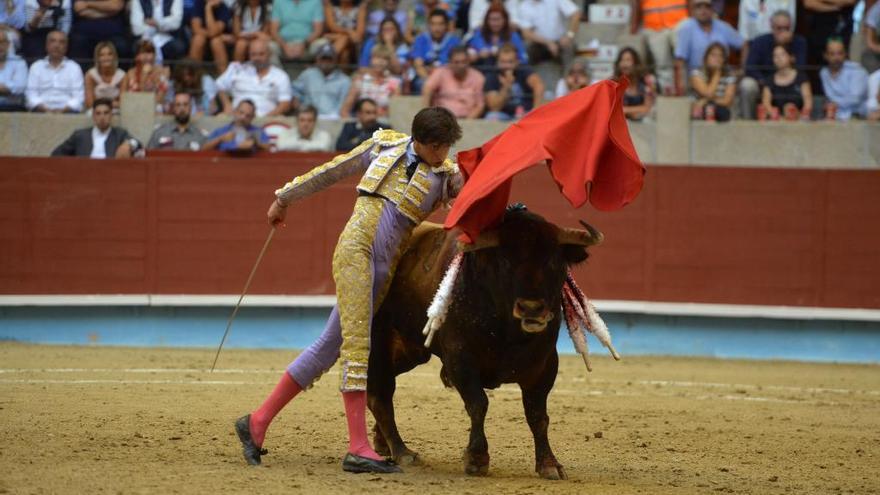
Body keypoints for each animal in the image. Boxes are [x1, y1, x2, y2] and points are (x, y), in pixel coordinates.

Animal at [364, 206, 604, 480]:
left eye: (554, 262)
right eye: (506, 262)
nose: (531, 308)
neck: (510, 333)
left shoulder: (545, 365)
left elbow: (537, 415)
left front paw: (549, 464)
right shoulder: (460, 359)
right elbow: (478, 404)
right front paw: (477, 459)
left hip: (409, 351)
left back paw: (382, 443)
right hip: (379, 339)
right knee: (380, 395)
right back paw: (402, 452)